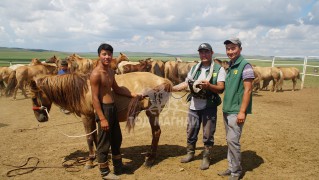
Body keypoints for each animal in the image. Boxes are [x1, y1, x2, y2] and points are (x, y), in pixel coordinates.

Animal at [30, 72, 174, 168]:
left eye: (33, 98)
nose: (40, 118)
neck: (83, 90)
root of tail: (164, 80)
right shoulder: (93, 118)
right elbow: (94, 138)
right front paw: (97, 157)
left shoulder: (86, 117)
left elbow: (89, 138)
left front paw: (89, 161)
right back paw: (149, 155)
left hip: (152, 113)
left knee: (156, 132)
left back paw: (150, 160)